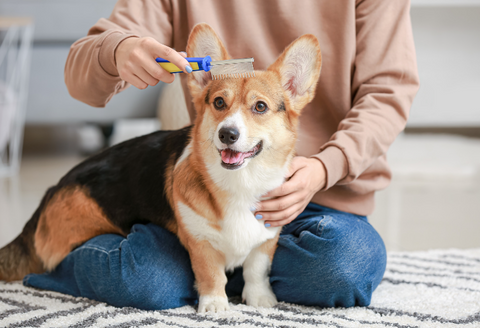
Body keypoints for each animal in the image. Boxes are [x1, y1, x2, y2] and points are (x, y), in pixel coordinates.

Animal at [0, 23, 322, 312]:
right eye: (219, 102)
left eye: (260, 107)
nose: (227, 134)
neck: (240, 184)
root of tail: (51, 191)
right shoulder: (200, 243)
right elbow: (211, 275)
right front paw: (215, 306)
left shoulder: (266, 238)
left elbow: (256, 271)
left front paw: (260, 300)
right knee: (55, 265)